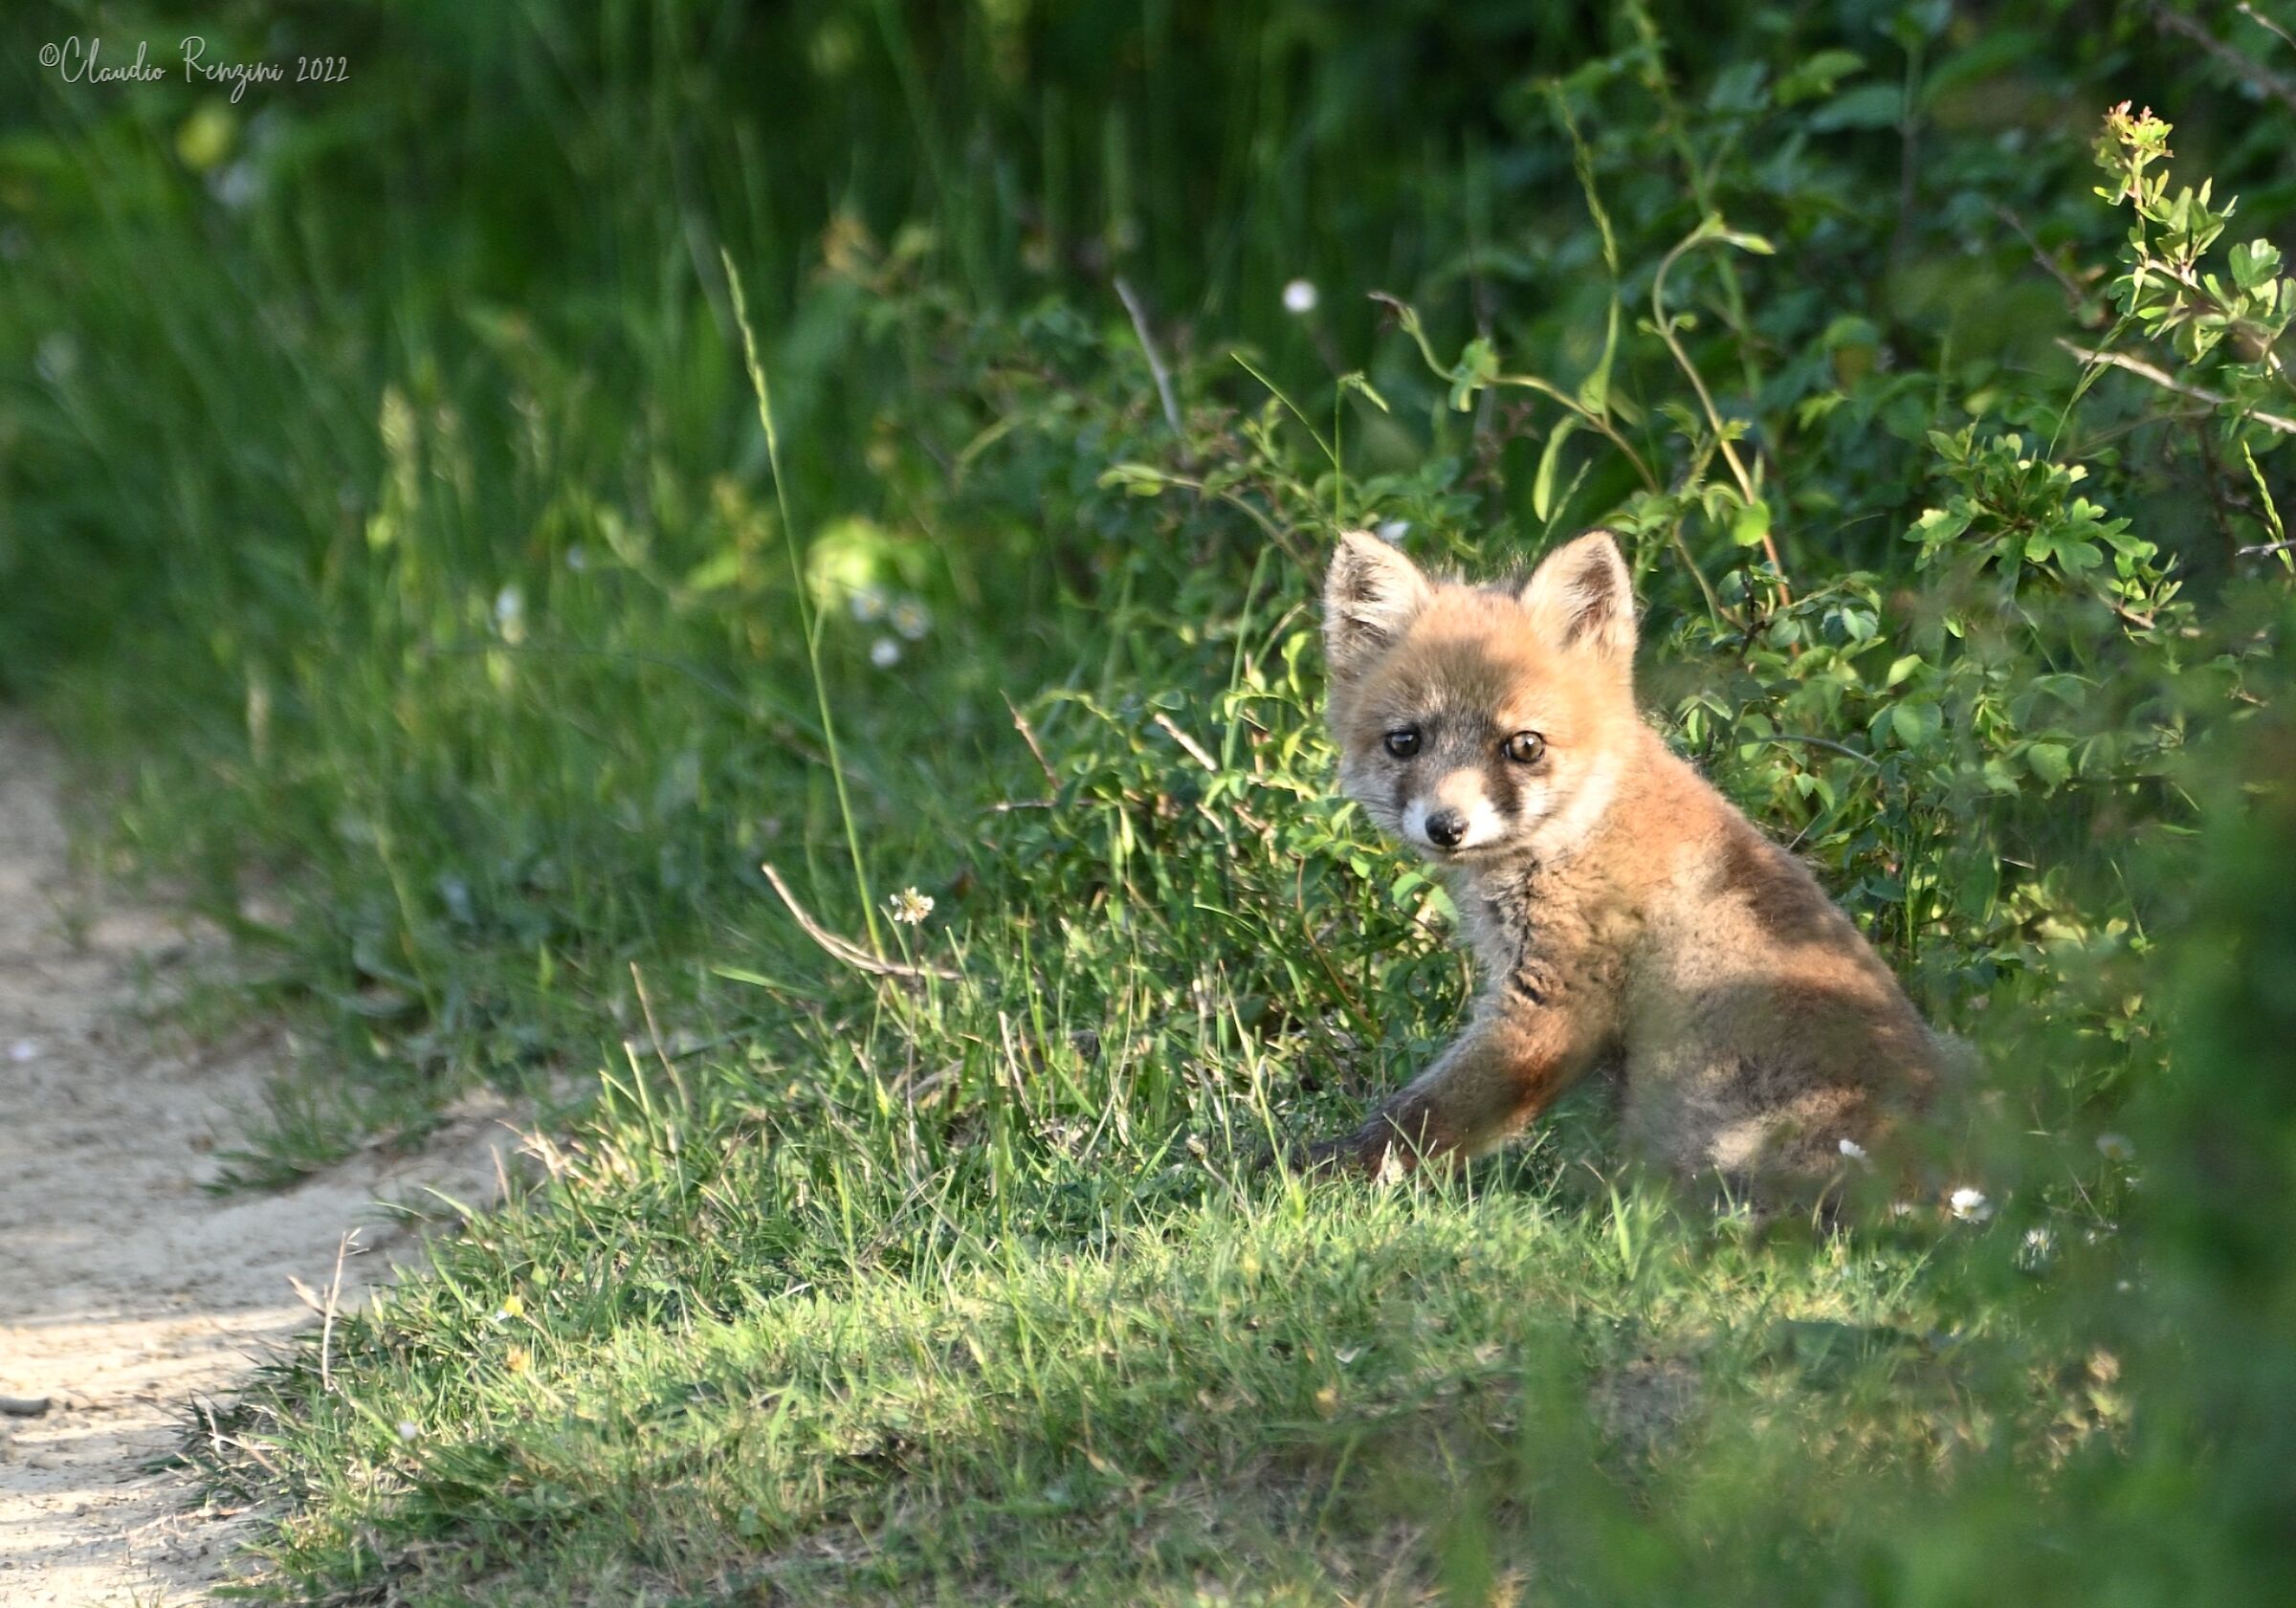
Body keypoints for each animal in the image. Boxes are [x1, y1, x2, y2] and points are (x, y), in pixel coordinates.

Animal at [1305, 527, 1947, 1202]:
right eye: (1406, 741)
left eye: (1524, 746)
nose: (1447, 827)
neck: (1583, 830)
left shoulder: (1548, 1013)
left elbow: (1413, 1121)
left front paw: (1309, 1174)